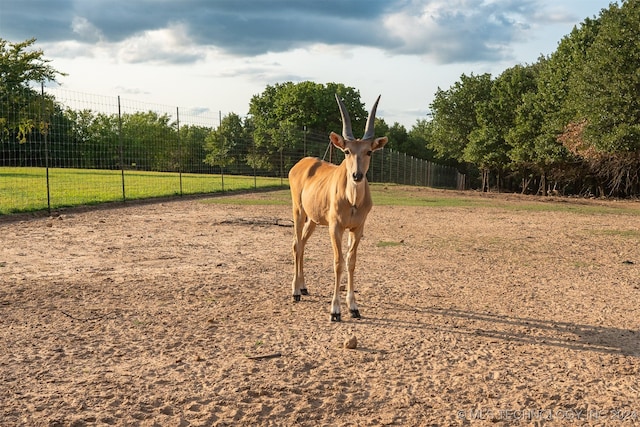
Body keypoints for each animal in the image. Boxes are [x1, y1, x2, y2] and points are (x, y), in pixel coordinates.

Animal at [288, 93, 388, 320]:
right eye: (347, 151)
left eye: (369, 152)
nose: (357, 175)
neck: (352, 201)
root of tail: (299, 165)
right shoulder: (335, 228)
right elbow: (338, 262)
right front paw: (335, 309)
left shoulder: (357, 228)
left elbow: (351, 261)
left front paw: (353, 307)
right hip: (298, 211)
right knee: (297, 244)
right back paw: (295, 291)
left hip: (313, 220)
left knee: (303, 244)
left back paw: (304, 287)